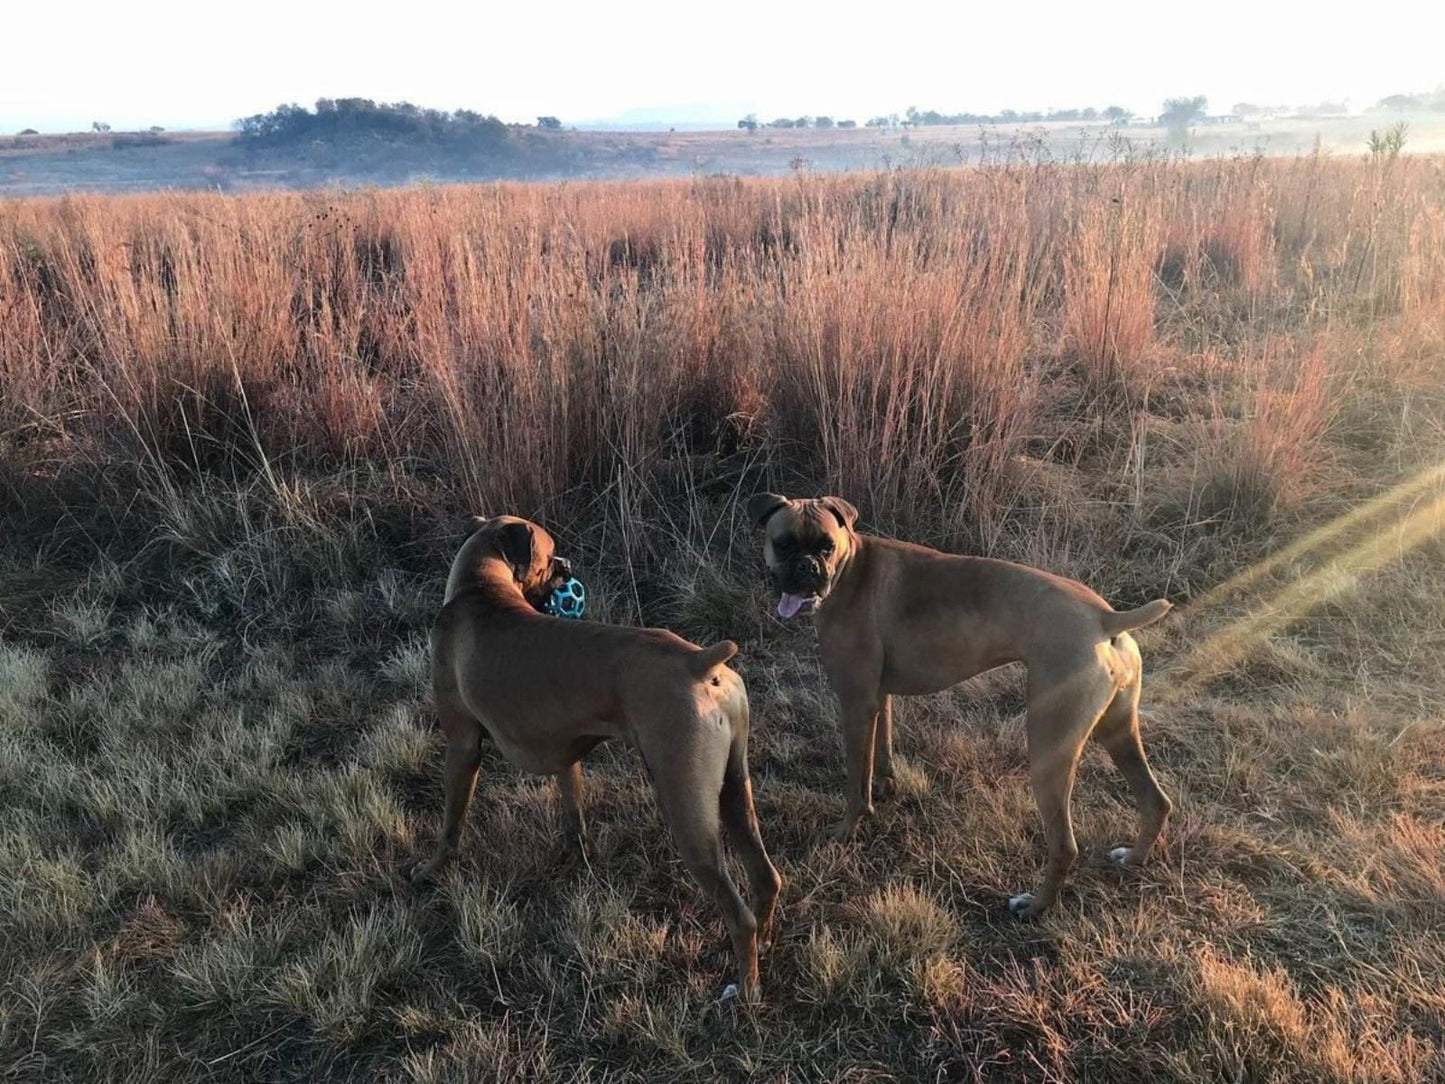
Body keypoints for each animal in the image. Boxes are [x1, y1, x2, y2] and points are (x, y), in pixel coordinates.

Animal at [413, 517, 786, 1000]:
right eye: (550, 556)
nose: (567, 564)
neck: (481, 587)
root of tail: (700, 662)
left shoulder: (461, 747)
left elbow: (451, 823)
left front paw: (433, 869)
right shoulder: (564, 753)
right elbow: (573, 807)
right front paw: (580, 855)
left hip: (687, 812)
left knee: (737, 914)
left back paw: (745, 990)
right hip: (734, 792)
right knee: (765, 876)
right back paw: (767, 942)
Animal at [745, 497, 1173, 919]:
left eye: (826, 546)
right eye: (783, 543)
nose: (806, 567)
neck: (851, 570)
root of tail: (1105, 617)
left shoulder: (855, 704)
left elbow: (856, 781)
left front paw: (848, 828)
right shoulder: (878, 699)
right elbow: (882, 750)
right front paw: (886, 787)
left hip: (1050, 747)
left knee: (1065, 845)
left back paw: (1033, 907)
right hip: (1118, 732)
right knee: (1155, 801)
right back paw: (1133, 858)